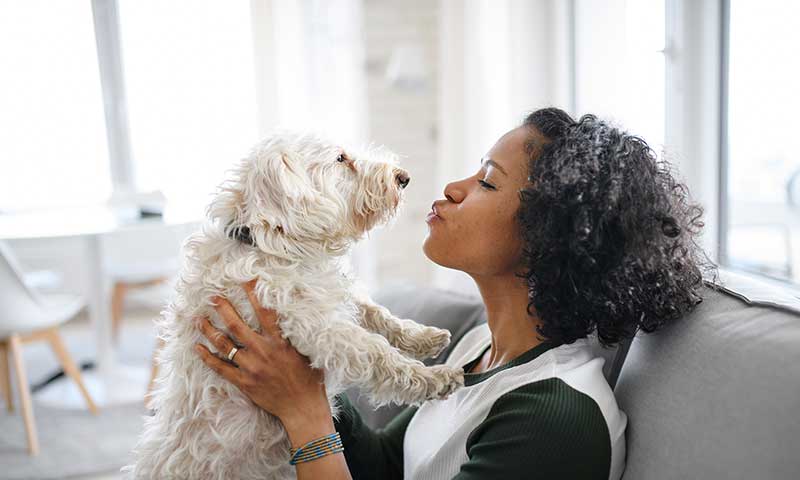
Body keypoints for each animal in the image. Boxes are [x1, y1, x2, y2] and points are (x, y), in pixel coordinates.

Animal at [124, 132, 462, 480]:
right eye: (341, 159)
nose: (403, 177)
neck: (272, 246)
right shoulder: (318, 327)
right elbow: (377, 353)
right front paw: (435, 378)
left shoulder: (333, 295)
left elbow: (376, 313)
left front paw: (424, 337)